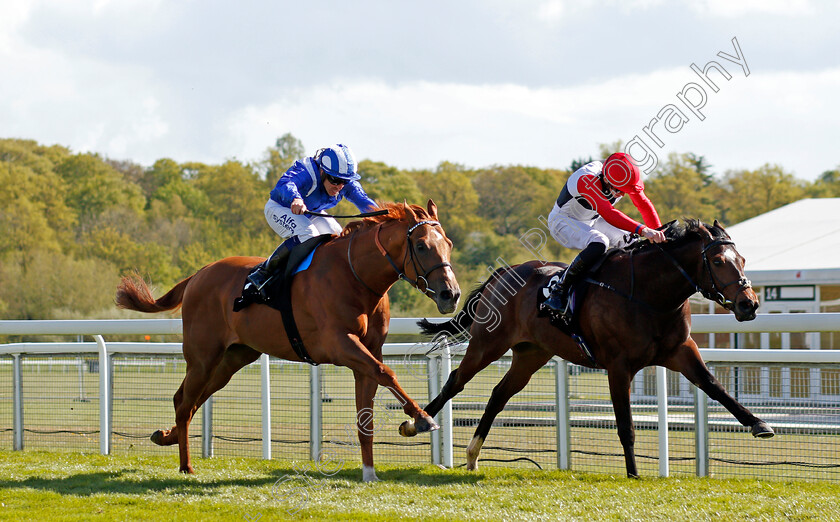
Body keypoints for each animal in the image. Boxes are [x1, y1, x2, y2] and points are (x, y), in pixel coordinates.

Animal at [114, 200, 460, 480]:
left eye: (449, 244)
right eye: (421, 246)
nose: (451, 294)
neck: (355, 275)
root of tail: (199, 274)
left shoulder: (367, 352)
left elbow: (367, 415)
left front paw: (369, 472)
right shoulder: (340, 345)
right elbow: (387, 372)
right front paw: (422, 419)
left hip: (233, 358)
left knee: (189, 398)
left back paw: (166, 436)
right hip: (202, 356)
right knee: (185, 402)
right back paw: (185, 465)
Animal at [400, 218, 776, 476]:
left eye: (742, 259)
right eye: (718, 262)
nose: (749, 304)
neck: (649, 295)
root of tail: (503, 274)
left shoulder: (680, 351)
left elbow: (714, 386)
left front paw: (759, 424)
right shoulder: (619, 366)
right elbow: (626, 425)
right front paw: (633, 474)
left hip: (531, 353)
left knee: (498, 394)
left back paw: (473, 455)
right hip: (488, 344)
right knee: (456, 382)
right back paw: (416, 423)